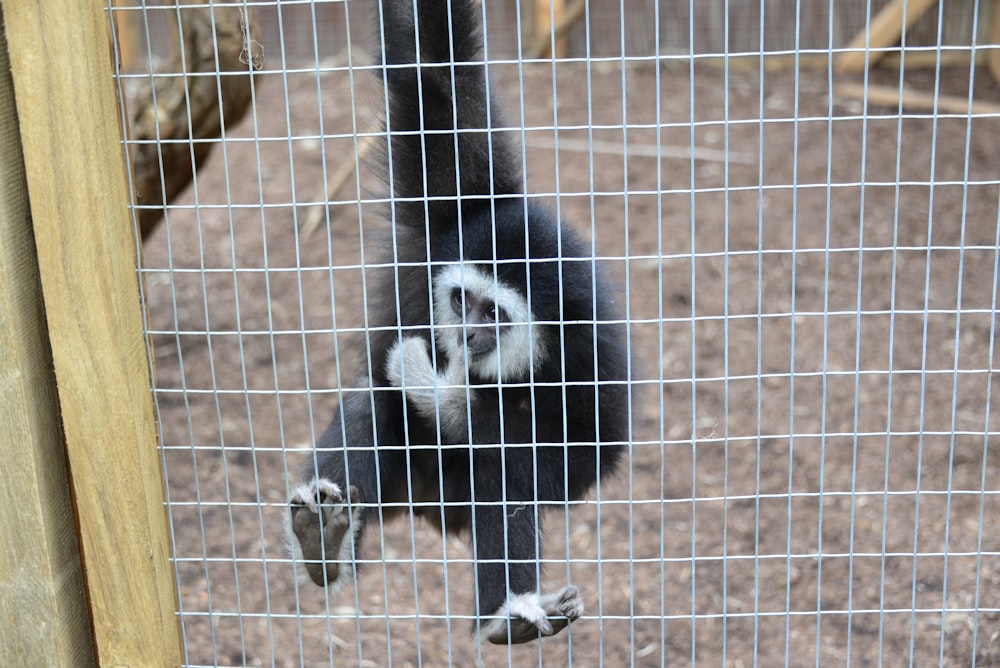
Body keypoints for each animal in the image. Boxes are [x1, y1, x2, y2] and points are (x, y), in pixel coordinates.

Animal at [290, 0, 628, 644]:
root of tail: (429, 511)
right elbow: (430, 69)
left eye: (493, 313)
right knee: (371, 401)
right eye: (459, 300)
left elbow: (580, 457)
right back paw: (325, 543)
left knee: (501, 472)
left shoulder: (593, 346)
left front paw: (443, 398)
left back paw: (507, 618)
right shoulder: (453, 219)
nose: (467, 332)